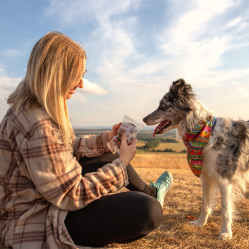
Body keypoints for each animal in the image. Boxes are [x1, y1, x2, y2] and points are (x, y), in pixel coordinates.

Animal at [142, 79, 249, 240]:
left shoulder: (225, 180)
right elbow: (205, 204)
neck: (205, 133)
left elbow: (225, 210)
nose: (143, 119)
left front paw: (225, 233)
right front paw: (200, 223)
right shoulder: (206, 177)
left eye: (164, 106)